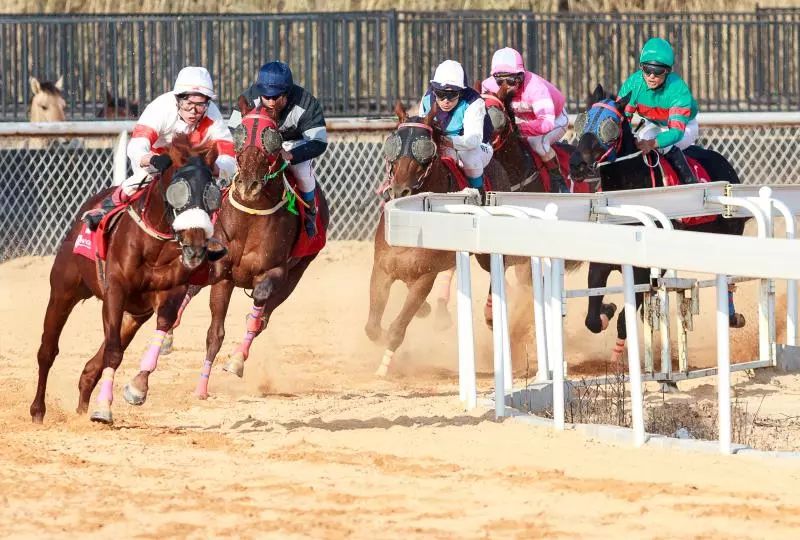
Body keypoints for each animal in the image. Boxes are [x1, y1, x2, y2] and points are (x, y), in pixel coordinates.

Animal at [30, 134, 222, 422]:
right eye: (179, 191)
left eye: (212, 194)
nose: (195, 248)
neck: (153, 246)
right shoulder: (115, 292)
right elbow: (112, 352)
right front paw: (103, 409)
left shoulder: (169, 293)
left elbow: (158, 330)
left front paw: (137, 388)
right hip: (63, 290)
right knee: (48, 350)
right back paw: (38, 411)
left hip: (135, 313)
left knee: (94, 363)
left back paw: (83, 406)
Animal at [127, 98, 332, 400]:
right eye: (240, 134)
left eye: (273, 137)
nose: (248, 185)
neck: (251, 216)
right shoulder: (222, 275)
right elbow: (214, 333)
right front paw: (199, 387)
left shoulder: (276, 272)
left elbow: (258, 311)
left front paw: (235, 360)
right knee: (191, 292)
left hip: (297, 273)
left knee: (263, 315)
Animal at [568, 84, 744, 360]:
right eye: (582, 121)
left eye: (610, 127)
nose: (577, 165)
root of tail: (726, 165)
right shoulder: (601, 262)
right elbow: (593, 319)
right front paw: (607, 309)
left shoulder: (644, 271)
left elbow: (624, 321)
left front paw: (618, 358)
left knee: (729, 279)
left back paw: (733, 316)